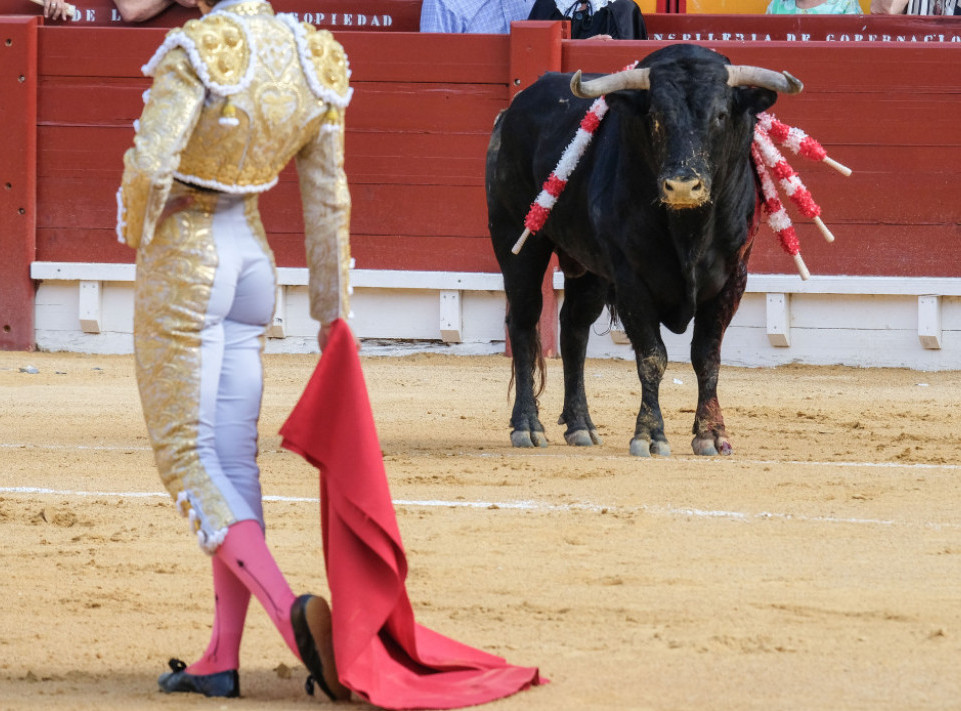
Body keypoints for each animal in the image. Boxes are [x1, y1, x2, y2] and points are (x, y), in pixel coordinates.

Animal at [484, 44, 800, 456]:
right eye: (655, 117)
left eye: (720, 115)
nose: (682, 186)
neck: (689, 230)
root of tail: (511, 111)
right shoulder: (631, 278)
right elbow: (652, 357)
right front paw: (650, 435)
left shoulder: (733, 277)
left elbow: (707, 356)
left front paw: (712, 434)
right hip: (517, 240)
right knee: (523, 323)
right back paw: (527, 426)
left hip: (589, 269)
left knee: (574, 329)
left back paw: (580, 425)